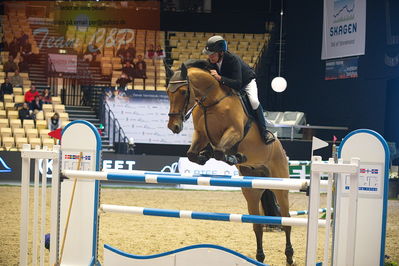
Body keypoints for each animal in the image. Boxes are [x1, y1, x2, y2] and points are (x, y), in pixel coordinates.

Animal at [166, 60, 294, 266]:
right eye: (167, 93)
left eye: (184, 92)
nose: (174, 126)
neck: (211, 102)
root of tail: (280, 148)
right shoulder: (201, 135)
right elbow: (193, 154)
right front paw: (205, 156)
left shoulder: (234, 131)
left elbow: (220, 152)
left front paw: (235, 157)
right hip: (252, 190)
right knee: (257, 225)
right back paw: (260, 257)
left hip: (280, 187)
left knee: (286, 220)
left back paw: (289, 256)